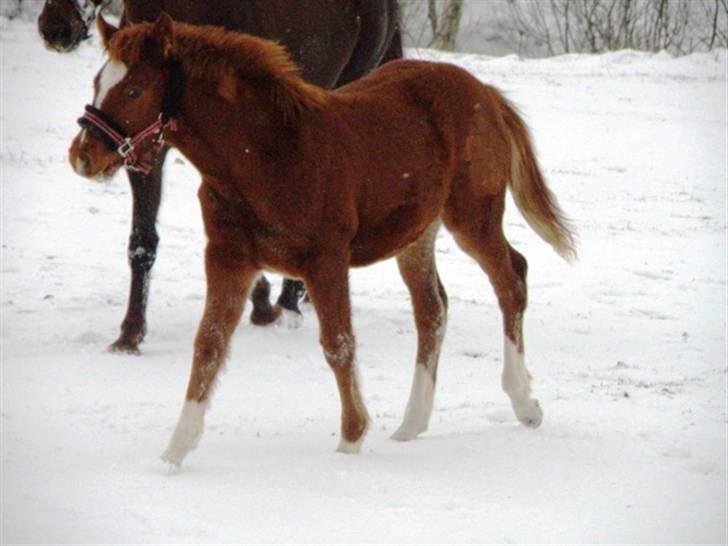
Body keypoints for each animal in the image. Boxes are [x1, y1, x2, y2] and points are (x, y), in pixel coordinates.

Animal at [39, 0, 400, 350]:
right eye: (97, 83)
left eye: (133, 92)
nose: (55, 26)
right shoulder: (149, 152)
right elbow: (142, 240)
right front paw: (130, 333)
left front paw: (266, 303)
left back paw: (291, 302)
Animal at [69, 13, 580, 464]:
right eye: (96, 81)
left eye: (134, 89)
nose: (82, 156)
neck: (265, 159)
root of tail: (485, 93)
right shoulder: (228, 259)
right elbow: (208, 345)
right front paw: (174, 453)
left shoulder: (325, 262)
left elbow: (338, 344)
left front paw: (351, 441)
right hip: (416, 236)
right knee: (433, 309)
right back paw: (411, 424)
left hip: (473, 216)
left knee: (511, 278)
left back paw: (525, 404)